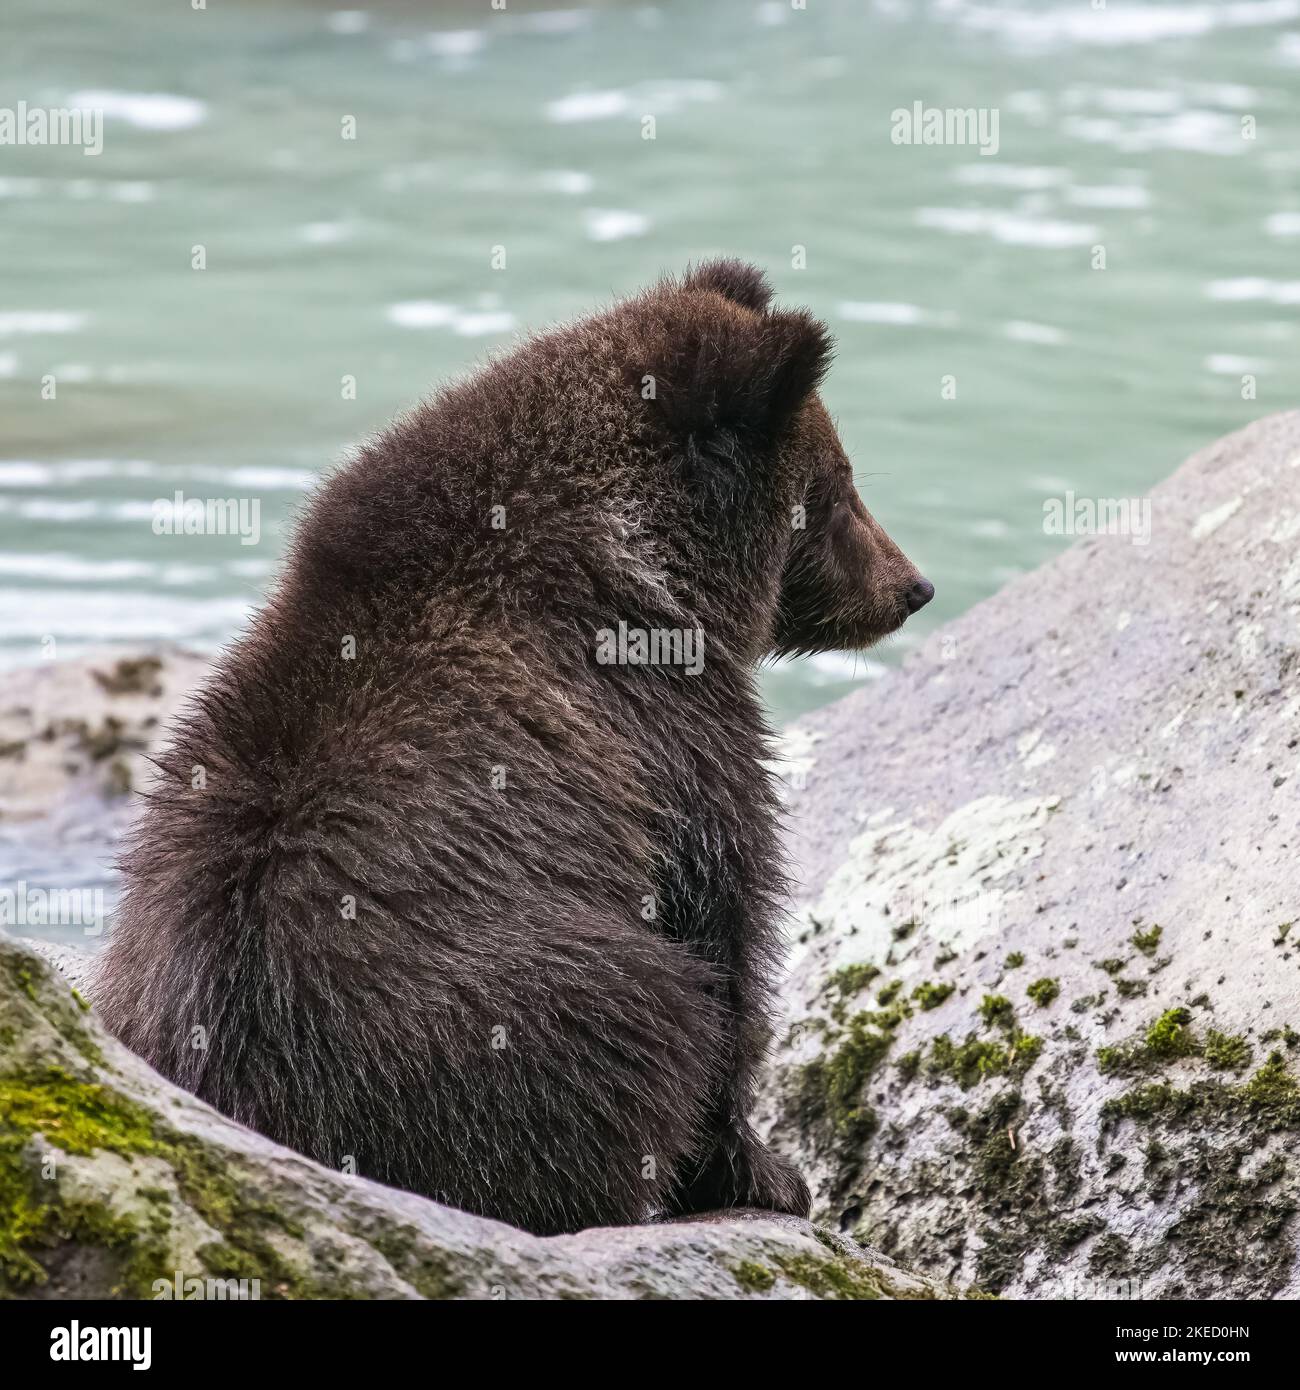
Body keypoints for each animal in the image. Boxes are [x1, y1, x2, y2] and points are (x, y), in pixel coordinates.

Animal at [96, 259, 933, 1235]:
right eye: (833, 491)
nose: (912, 586)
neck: (630, 562)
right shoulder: (663, 738)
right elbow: (722, 925)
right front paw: (768, 1171)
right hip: (535, 1009)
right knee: (647, 1024)